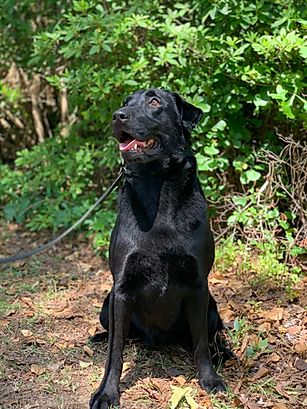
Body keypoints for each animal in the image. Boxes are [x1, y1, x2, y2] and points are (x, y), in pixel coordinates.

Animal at [90, 89, 232, 408]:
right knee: (118, 335)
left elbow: (201, 344)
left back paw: (224, 352)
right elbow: (115, 353)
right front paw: (107, 393)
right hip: (106, 306)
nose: (117, 116)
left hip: (212, 307)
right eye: (126, 102)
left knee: (206, 337)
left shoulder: (198, 286)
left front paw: (210, 379)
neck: (158, 186)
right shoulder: (120, 290)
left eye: (154, 102)